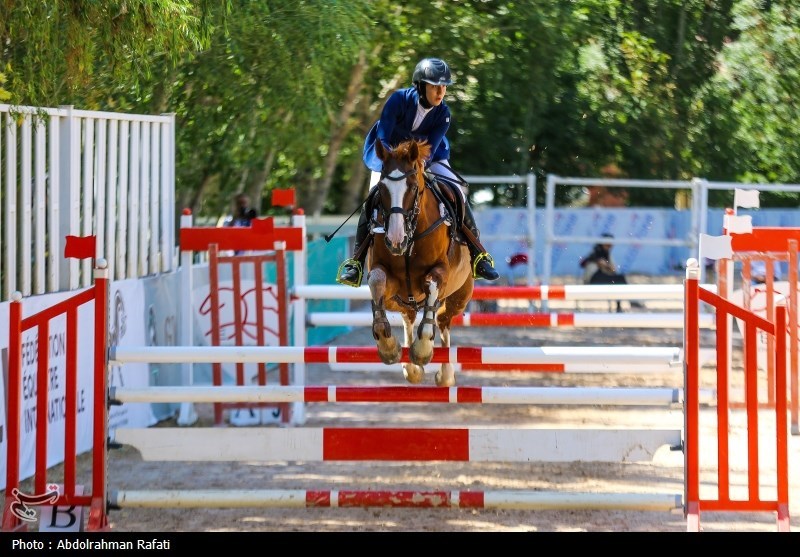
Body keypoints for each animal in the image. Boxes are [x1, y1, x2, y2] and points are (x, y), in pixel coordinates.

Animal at [366, 138, 472, 386]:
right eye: (381, 189)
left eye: (413, 187)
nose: (395, 240)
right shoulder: (389, 279)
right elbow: (377, 280)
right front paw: (388, 347)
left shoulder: (441, 272)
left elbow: (431, 285)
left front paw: (422, 350)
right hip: (399, 302)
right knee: (409, 317)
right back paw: (411, 368)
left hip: (459, 298)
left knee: (442, 322)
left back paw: (445, 374)